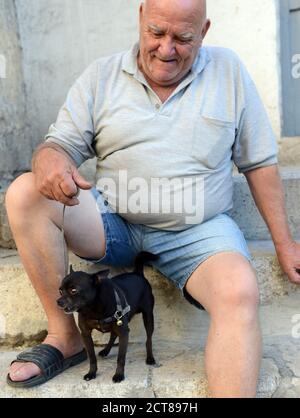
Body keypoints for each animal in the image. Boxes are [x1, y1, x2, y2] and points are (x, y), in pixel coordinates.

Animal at [56, 250, 157, 384]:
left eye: (74, 290)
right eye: (60, 291)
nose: (58, 301)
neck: (93, 308)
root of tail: (137, 273)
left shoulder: (124, 332)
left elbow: (120, 357)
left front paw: (119, 375)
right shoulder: (86, 334)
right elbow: (92, 357)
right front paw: (91, 373)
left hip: (148, 316)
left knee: (148, 339)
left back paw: (150, 357)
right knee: (113, 334)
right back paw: (106, 350)